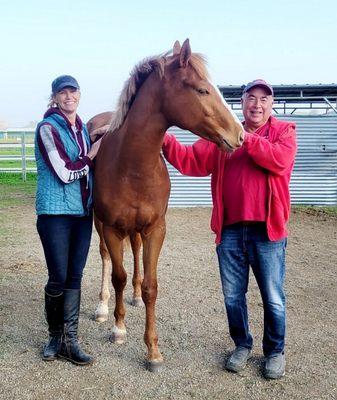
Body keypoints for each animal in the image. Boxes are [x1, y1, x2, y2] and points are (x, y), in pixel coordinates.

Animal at [89, 39, 243, 370]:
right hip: (100, 224)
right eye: (202, 89)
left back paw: (133, 297)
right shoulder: (111, 228)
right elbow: (118, 276)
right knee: (107, 259)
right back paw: (103, 308)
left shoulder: (155, 229)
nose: (240, 135)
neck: (132, 165)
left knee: (134, 253)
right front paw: (119, 329)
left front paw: (153, 351)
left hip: (135, 230)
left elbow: (151, 286)